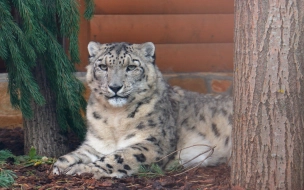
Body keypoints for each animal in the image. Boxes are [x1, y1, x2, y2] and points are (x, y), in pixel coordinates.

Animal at [52, 41, 233, 178]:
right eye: (103, 66)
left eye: (131, 67)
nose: (115, 87)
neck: (114, 117)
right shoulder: (98, 143)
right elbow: (81, 152)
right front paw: (61, 165)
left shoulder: (152, 143)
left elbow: (118, 157)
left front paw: (82, 169)